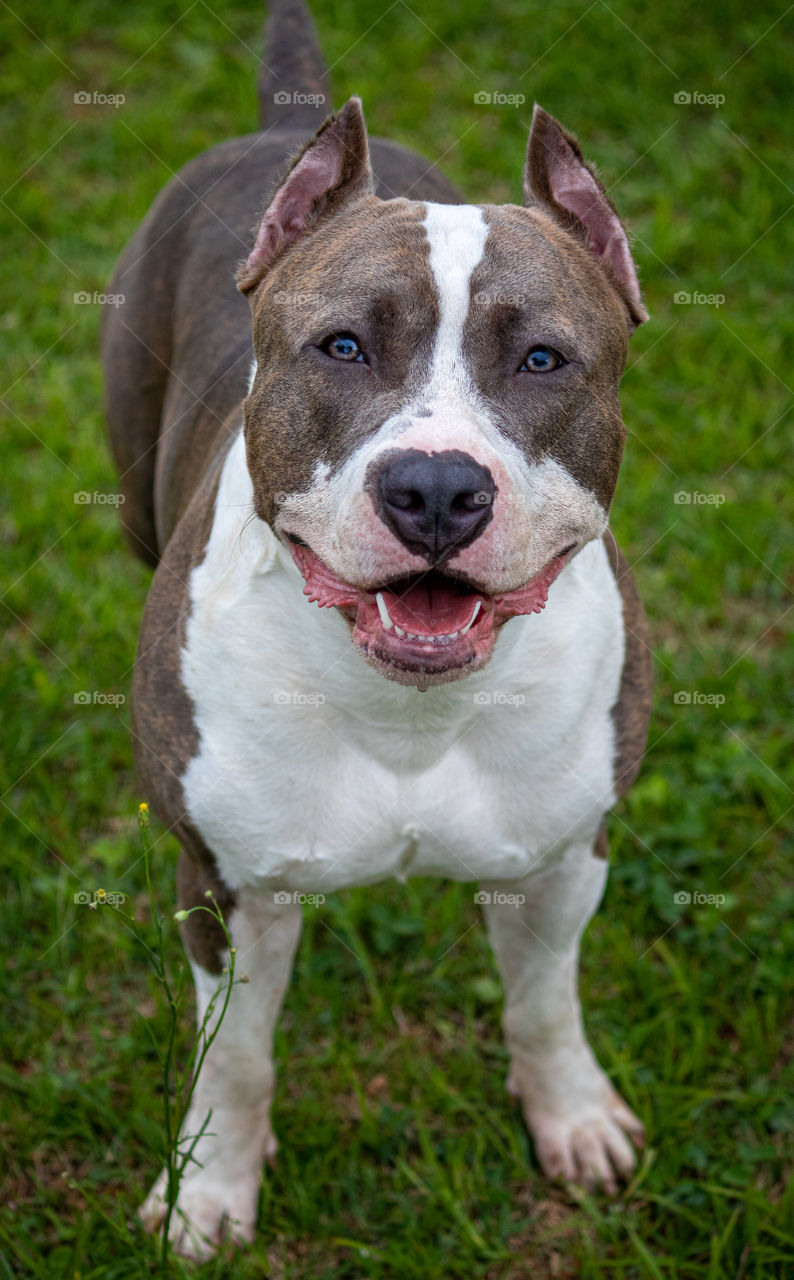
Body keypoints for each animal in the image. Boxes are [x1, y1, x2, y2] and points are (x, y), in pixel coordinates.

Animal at [103, 0, 650, 1259]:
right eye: (342, 346)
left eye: (542, 358)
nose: (436, 488)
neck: (409, 708)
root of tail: (279, 127)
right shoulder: (224, 884)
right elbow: (233, 1058)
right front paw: (209, 1189)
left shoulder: (563, 859)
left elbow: (543, 1000)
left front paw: (570, 1113)